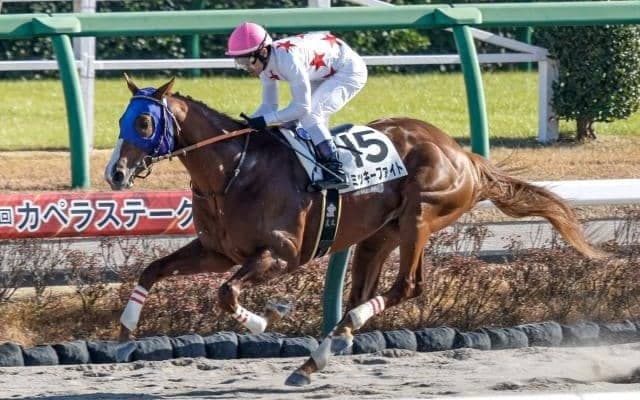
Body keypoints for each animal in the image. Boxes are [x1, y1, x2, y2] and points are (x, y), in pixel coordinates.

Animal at [104, 75, 603, 386]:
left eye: (144, 122)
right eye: (120, 120)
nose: (115, 173)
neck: (236, 171)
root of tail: (465, 155)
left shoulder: (282, 255)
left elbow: (227, 293)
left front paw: (266, 317)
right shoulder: (218, 251)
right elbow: (152, 270)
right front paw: (126, 339)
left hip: (421, 215)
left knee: (408, 286)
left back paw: (335, 340)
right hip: (377, 235)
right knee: (362, 291)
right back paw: (318, 356)